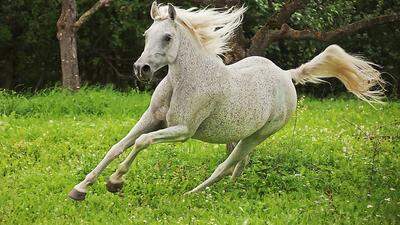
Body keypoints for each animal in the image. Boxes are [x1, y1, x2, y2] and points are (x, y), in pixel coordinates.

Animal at [69, 1, 384, 200]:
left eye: (168, 37)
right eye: (147, 34)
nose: (141, 69)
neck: (185, 80)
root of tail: (286, 75)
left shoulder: (183, 131)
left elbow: (141, 143)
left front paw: (114, 183)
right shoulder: (152, 118)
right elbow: (118, 146)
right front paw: (80, 189)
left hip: (260, 134)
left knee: (226, 164)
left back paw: (193, 194)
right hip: (245, 133)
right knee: (239, 164)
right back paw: (231, 191)